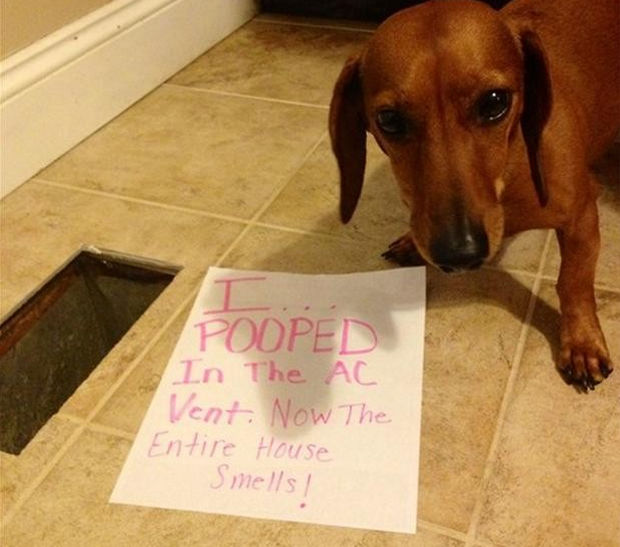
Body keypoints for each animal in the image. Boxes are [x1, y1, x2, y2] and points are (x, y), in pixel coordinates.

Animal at [329, 0, 619, 390]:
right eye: (389, 119)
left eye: (495, 102)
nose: (459, 253)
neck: (509, 172)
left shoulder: (581, 216)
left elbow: (573, 282)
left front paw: (582, 343)